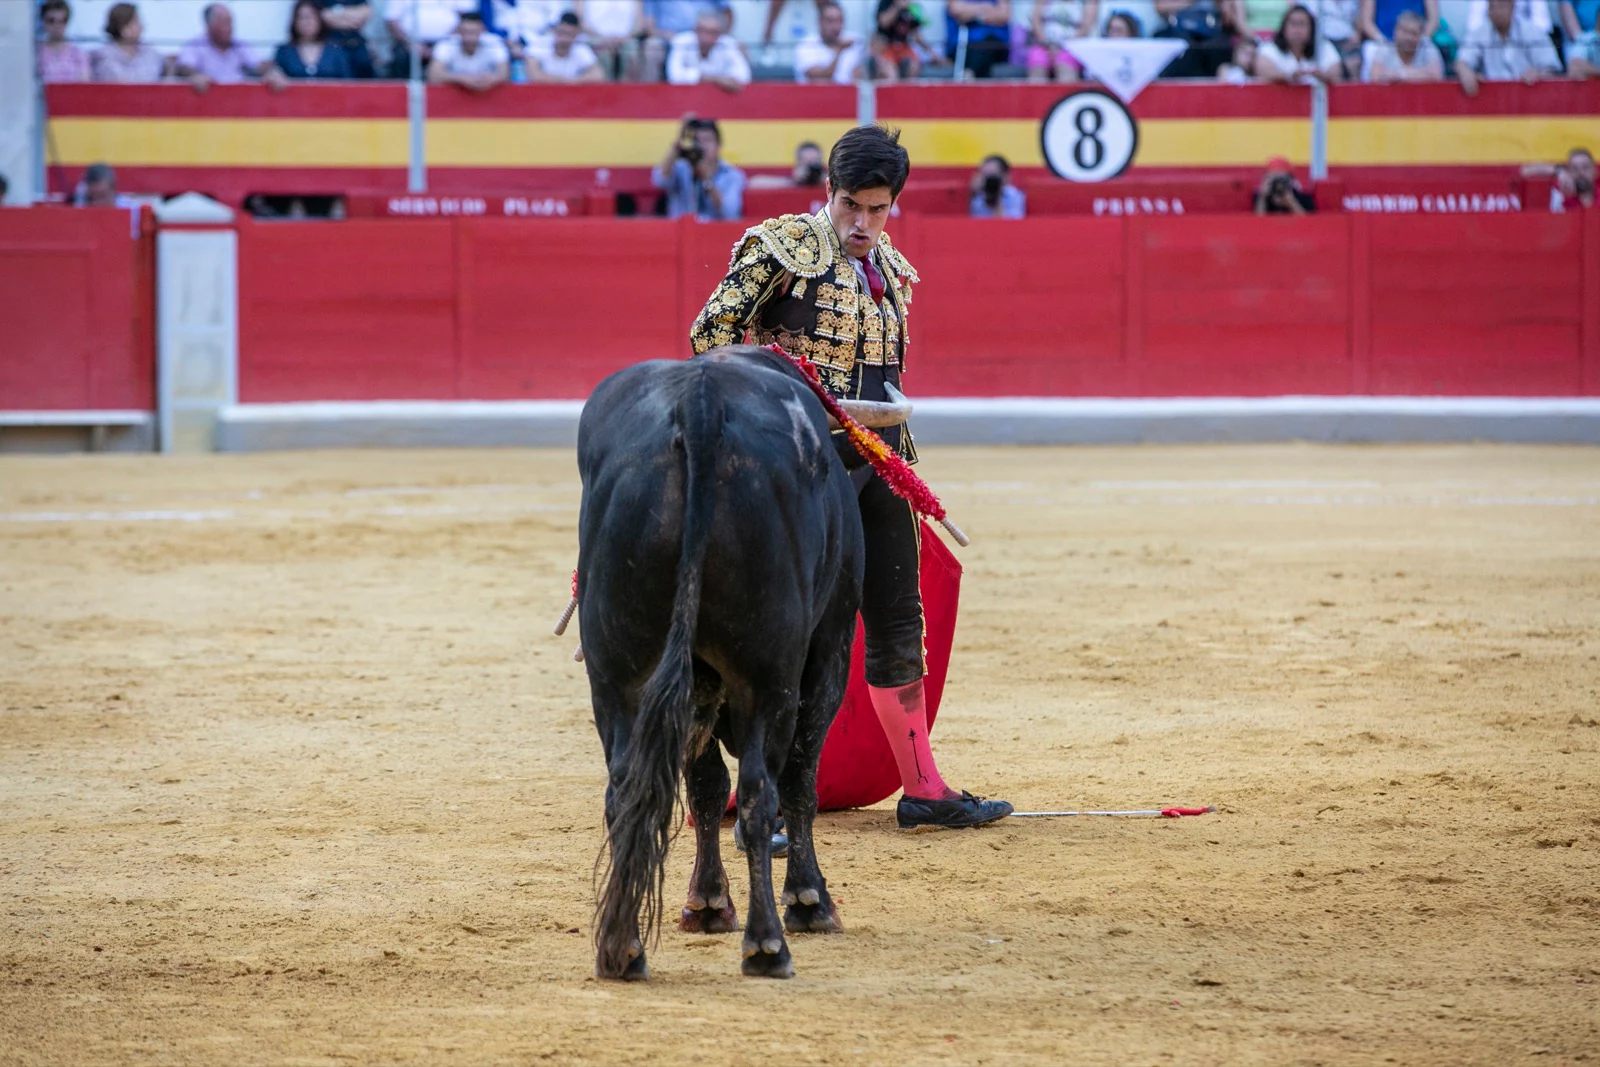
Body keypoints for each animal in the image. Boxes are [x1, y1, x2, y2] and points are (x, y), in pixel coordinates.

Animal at [579, 347, 864, 979]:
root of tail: (700, 405)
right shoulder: (827, 655)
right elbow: (798, 780)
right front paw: (809, 901)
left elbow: (705, 785)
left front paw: (706, 902)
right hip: (770, 676)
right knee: (762, 792)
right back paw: (768, 944)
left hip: (615, 675)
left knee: (624, 790)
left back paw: (623, 949)